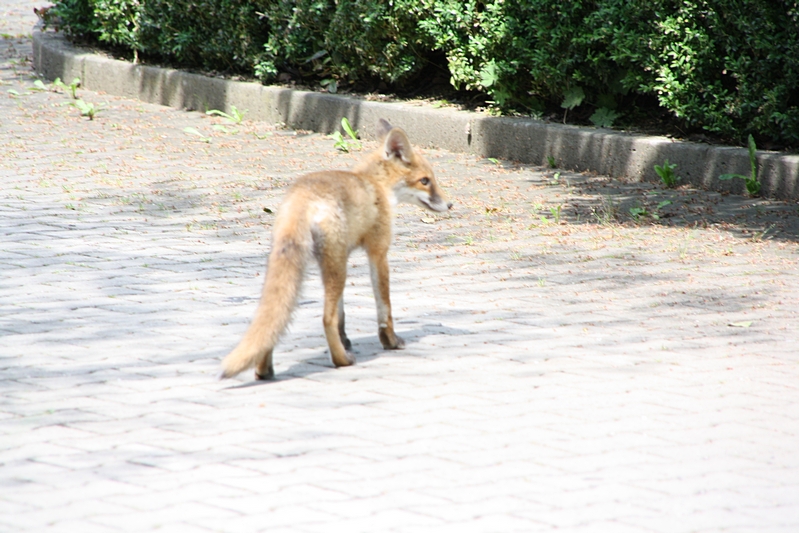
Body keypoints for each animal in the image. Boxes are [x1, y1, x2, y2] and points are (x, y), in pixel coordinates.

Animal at [219, 119, 452, 380]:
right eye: (425, 181)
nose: (450, 204)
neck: (376, 186)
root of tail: (302, 196)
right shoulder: (378, 252)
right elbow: (384, 308)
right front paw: (390, 341)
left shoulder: (344, 256)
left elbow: (342, 315)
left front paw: (346, 339)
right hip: (336, 267)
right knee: (325, 318)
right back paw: (341, 360)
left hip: (306, 264)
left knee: (275, 318)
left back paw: (264, 370)